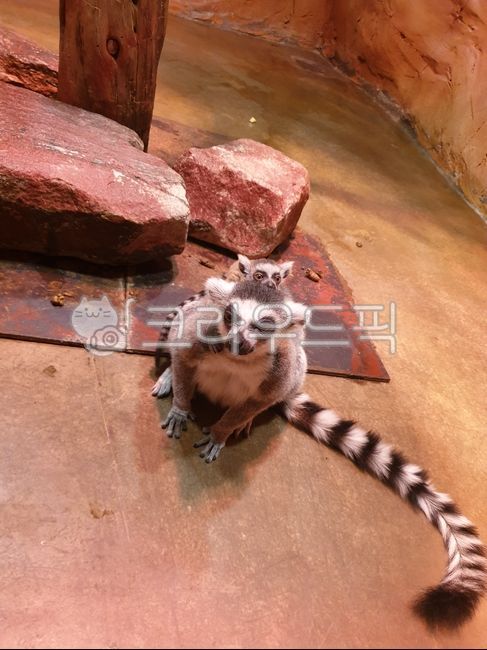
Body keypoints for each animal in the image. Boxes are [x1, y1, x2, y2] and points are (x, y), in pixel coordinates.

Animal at [152, 276, 486, 631]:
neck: (238, 360)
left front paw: (223, 431)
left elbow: (258, 399)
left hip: (294, 370)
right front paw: (179, 407)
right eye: (230, 316)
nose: (238, 343)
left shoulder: (280, 370)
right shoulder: (202, 335)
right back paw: (169, 376)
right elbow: (184, 356)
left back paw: (245, 422)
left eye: (263, 325)